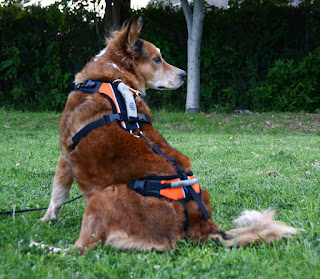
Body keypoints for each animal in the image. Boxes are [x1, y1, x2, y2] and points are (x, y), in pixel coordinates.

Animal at [42, 17, 298, 254]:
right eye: (157, 59)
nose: (185, 74)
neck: (111, 78)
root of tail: (202, 223)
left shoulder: (64, 155)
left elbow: (57, 194)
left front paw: (46, 219)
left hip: (100, 200)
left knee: (82, 248)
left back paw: (43, 246)